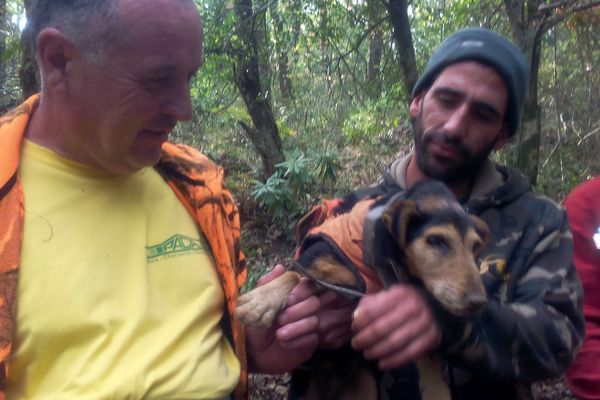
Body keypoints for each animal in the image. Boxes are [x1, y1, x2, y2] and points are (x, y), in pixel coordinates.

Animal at [234, 181, 488, 400]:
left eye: (475, 247)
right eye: (436, 240)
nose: (479, 302)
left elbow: (438, 387)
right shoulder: (313, 259)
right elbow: (293, 274)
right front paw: (260, 302)